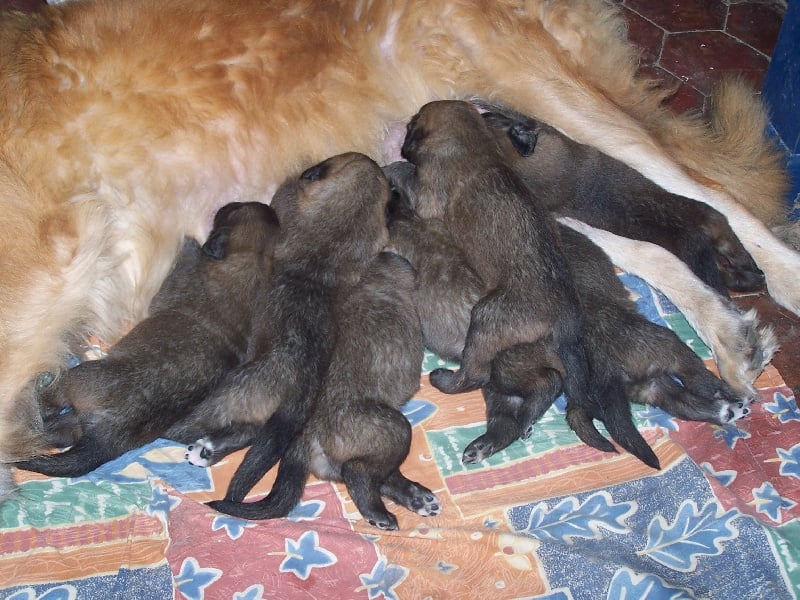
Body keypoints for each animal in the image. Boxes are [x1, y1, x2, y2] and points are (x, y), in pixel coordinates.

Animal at [18, 203, 282, 478]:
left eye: (233, 209)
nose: (223, 206)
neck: (253, 262)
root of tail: (108, 436)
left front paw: (188, 243)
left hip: (77, 379)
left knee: (50, 402)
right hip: (75, 425)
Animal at [209, 253, 440, 528]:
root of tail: (306, 435)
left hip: (342, 460)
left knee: (378, 478)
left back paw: (416, 498)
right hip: (393, 429)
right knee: (359, 474)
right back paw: (379, 514)